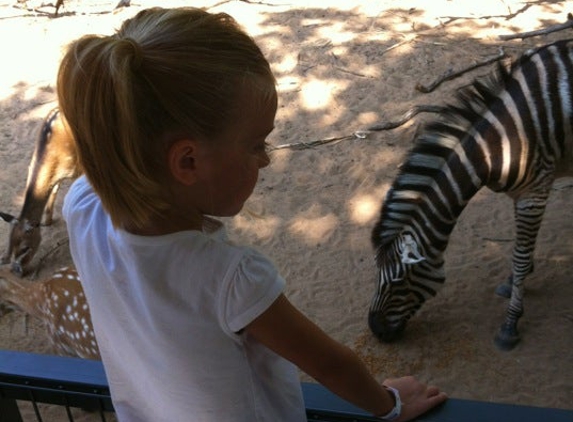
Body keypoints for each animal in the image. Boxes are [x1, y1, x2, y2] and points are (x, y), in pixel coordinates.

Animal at [366, 38, 572, 350]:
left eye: (399, 282)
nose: (375, 331)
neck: (498, 144)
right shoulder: (523, 194)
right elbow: (522, 250)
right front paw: (514, 282)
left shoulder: (533, 193)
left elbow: (520, 256)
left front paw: (510, 324)